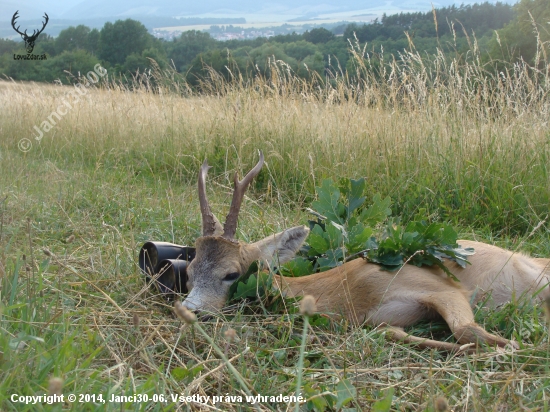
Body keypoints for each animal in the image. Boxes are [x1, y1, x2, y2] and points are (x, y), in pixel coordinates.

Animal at [182, 151, 550, 350]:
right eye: (188, 271)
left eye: (231, 273)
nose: (188, 311)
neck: (347, 295)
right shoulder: (381, 320)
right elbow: (392, 334)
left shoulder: (442, 287)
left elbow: (466, 330)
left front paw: (513, 347)